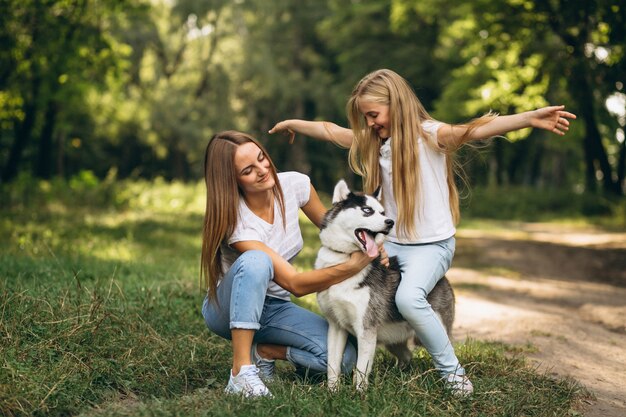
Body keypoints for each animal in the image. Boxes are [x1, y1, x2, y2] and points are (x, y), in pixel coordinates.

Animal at [314, 179, 450, 390]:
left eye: (383, 212)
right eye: (367, 210)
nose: (390, 222)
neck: (343, 261)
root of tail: (443, 277)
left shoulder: (366, 330)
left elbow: (360, 371)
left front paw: (359, 395)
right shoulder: (336, 327)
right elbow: (333, 366)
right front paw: (332, 392)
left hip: (434, 330)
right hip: (392, 339)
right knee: (407, 355)